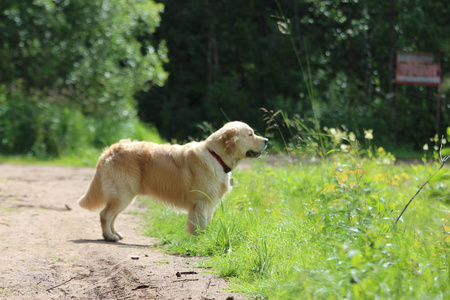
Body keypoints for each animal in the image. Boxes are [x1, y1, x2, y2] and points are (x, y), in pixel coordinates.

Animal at [78, 120, 268, 240]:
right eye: (250, 134)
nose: (267, 140)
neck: (216, 156)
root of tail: (112, 149)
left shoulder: (208, 203)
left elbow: (206, 223)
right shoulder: (201, 202)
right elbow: (200, 224)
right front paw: (202, 239)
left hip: (126, 196)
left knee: (112, 216)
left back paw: (115, 234)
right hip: (122, 194)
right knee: (105, 214)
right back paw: (109, 236)